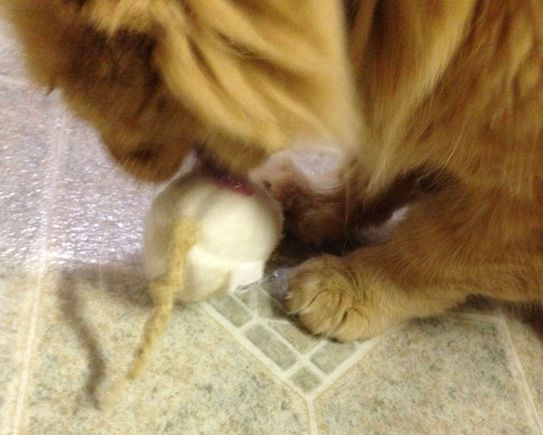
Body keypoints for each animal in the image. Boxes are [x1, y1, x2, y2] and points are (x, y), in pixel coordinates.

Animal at [5, 0, 543, 340]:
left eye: (63, 85)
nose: (123, 161)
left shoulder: (517, 204)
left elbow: (434, 254)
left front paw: (351, 286)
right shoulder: (421, 117)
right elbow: (377, 175)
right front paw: (318, 207)